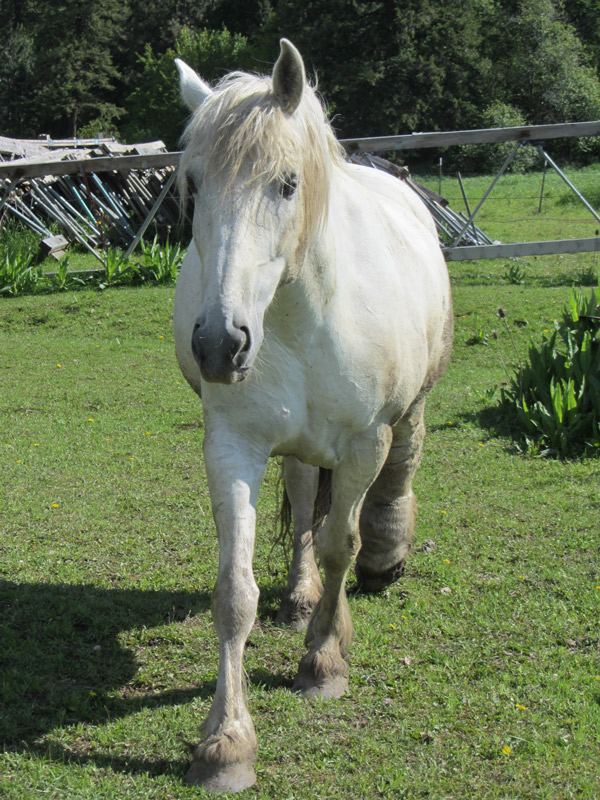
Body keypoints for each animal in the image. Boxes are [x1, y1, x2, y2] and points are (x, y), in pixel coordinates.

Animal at [171, 42, 452, 792]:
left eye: (286, 184)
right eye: (194, 186)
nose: (219, 344)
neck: (299, 316)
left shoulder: (363, 443)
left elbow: (339, 543)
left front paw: (324, 661)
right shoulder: (233, 445)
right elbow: (234, 591)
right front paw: (226, 742)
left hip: (409, 413)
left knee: (397, 475)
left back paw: (385, 557)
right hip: (293, 443)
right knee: (301, 500)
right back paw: (299, 597)